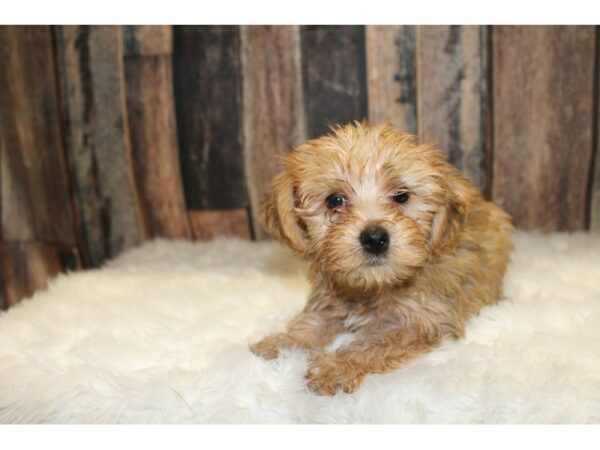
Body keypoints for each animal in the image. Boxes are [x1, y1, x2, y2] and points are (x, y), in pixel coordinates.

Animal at [251, 120, 512, 394]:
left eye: (401, 195)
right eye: (334, 200)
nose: (375, 238)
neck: (374, 285)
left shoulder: (421, 322)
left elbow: (375, 344)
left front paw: (336, 367)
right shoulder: (329, 299)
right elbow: (311, 322)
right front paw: (284, 342)